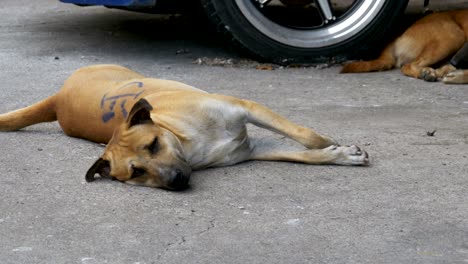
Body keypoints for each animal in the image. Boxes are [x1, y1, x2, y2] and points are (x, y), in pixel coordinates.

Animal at [0, 65, 370, 191]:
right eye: (136, 173)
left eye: (153, 145)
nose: (176, 181)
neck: (190, 144)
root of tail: (58, 99)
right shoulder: (253, 150)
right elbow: (302, 154)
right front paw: (337, 155)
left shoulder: (247, 108)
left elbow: (305, 136)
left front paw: (330, 143)